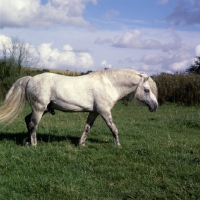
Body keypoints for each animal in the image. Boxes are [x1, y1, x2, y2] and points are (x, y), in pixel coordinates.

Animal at [0, 69, 158, 146]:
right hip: (39, 109)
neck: (108, 84)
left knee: (28, 121)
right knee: (33, 124)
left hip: (41, 109)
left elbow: (87, 128)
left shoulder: (94, 112)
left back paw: (27, 142)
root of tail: (30, 79)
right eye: (146, 90)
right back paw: (33, 144)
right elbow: (113, 128)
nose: (155, 106)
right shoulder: (104, 112)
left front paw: (81, 144)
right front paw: (117, 145)